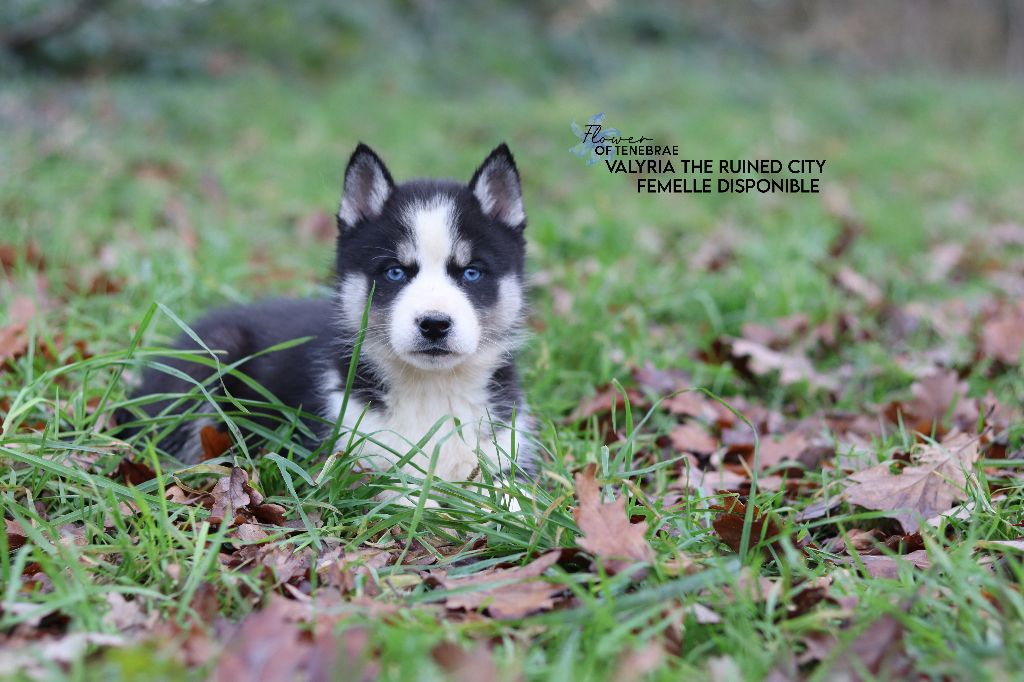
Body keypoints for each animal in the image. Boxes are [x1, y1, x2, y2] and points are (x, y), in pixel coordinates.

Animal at [123, 142, 532, 483]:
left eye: (472, 272)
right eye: (394, 272)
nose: (434, 324)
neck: (431, 389)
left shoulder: (505, 450)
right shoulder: (347, 460)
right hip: (208, 360)